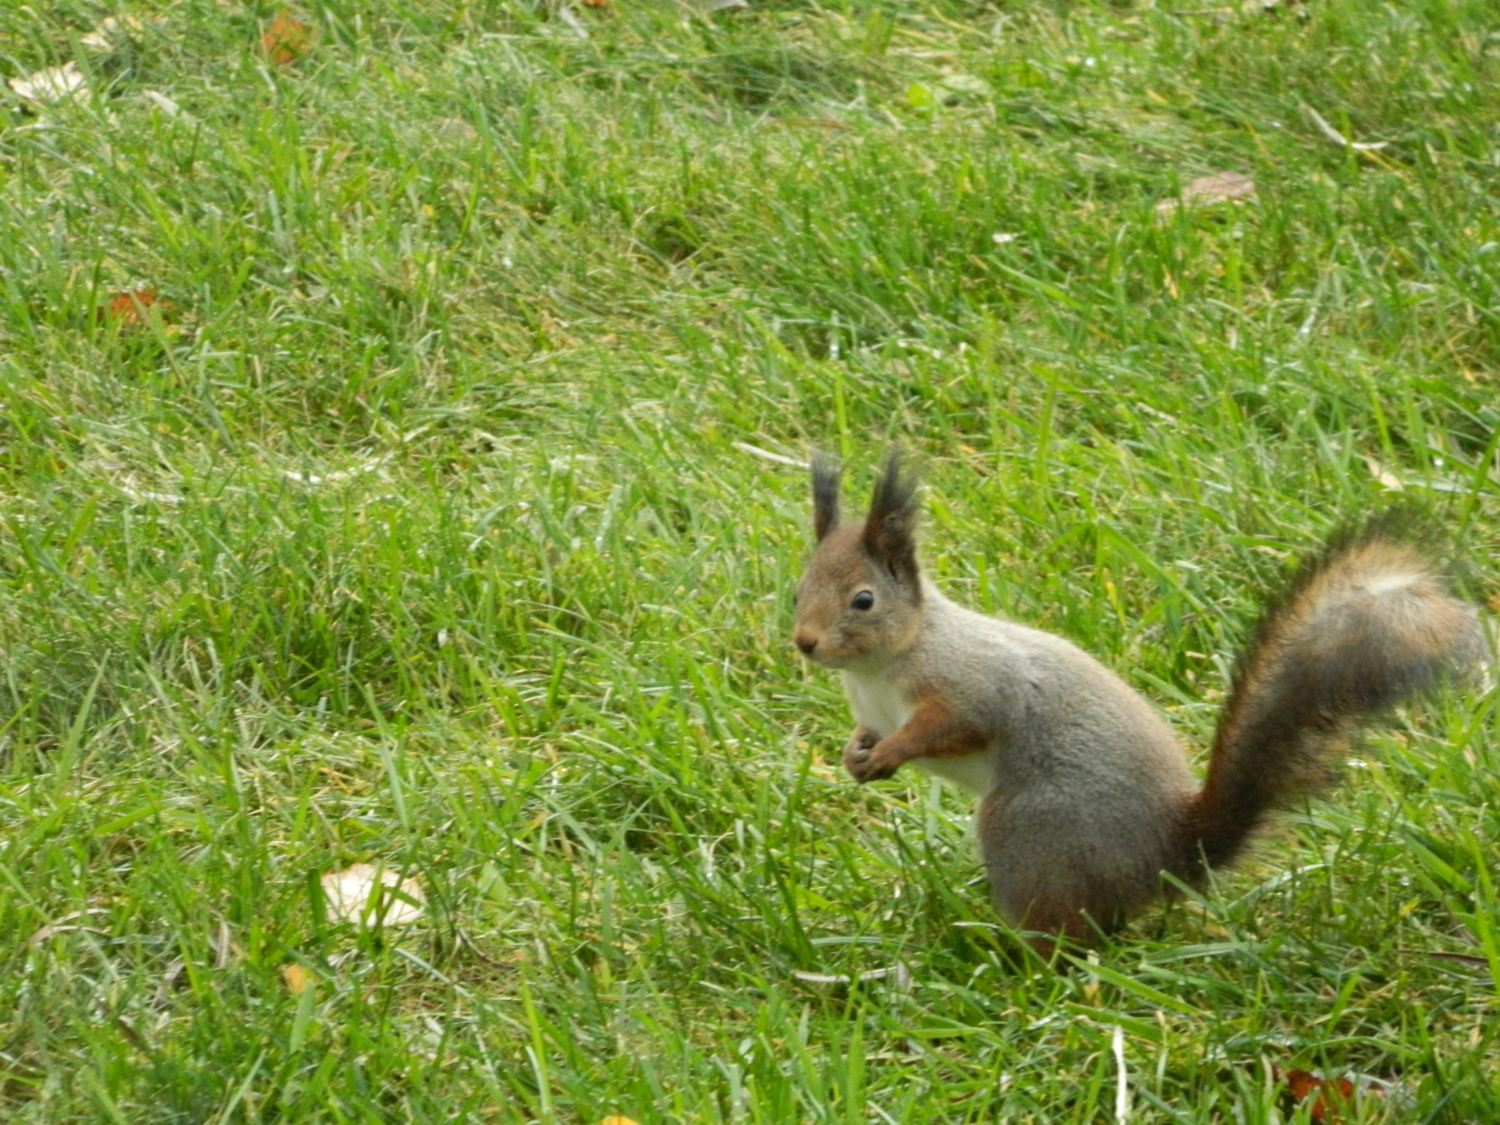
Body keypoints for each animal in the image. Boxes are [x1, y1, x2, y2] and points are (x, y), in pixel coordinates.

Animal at [792, 453, 1482, 948]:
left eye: (863, 601)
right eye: (798, 588)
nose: (804, 643)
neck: (880, 668)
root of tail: (1167, 856)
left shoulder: (972, 683)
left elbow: (953, 725)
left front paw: (892, 754)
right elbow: (866, 734)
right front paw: (858, 758)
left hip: (1033, 830)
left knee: (1068, 934)